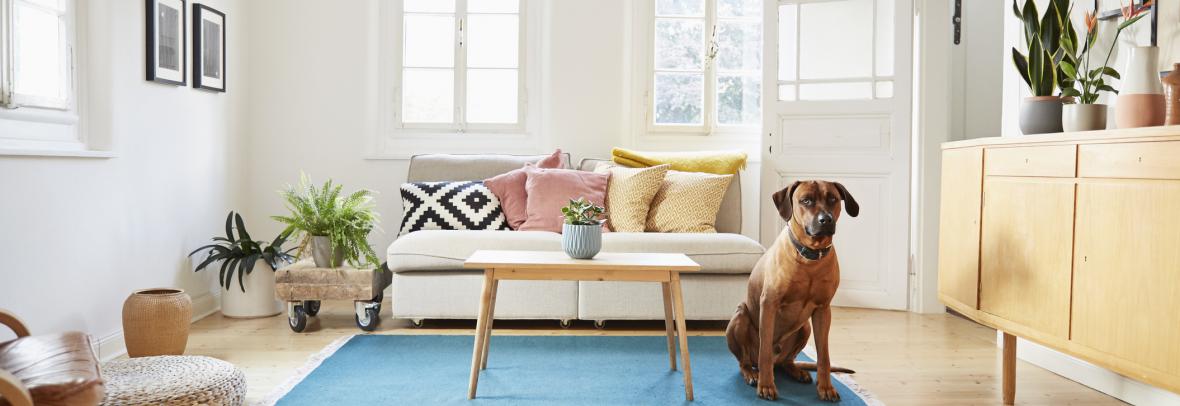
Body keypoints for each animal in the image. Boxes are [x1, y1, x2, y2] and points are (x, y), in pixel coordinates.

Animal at [722, 180, 863, 398]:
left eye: (832, 198)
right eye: (805, 200)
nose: (826, 220)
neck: (810, 257)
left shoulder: (823, 309)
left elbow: (824, 356)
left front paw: (826, 387)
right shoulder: (769, 304)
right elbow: (764, 352)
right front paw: (766, 385)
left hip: (804, 327)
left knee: (787, 361)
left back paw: (796, 371)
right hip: (740, 316)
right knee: (747, 361)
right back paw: (752, 374)